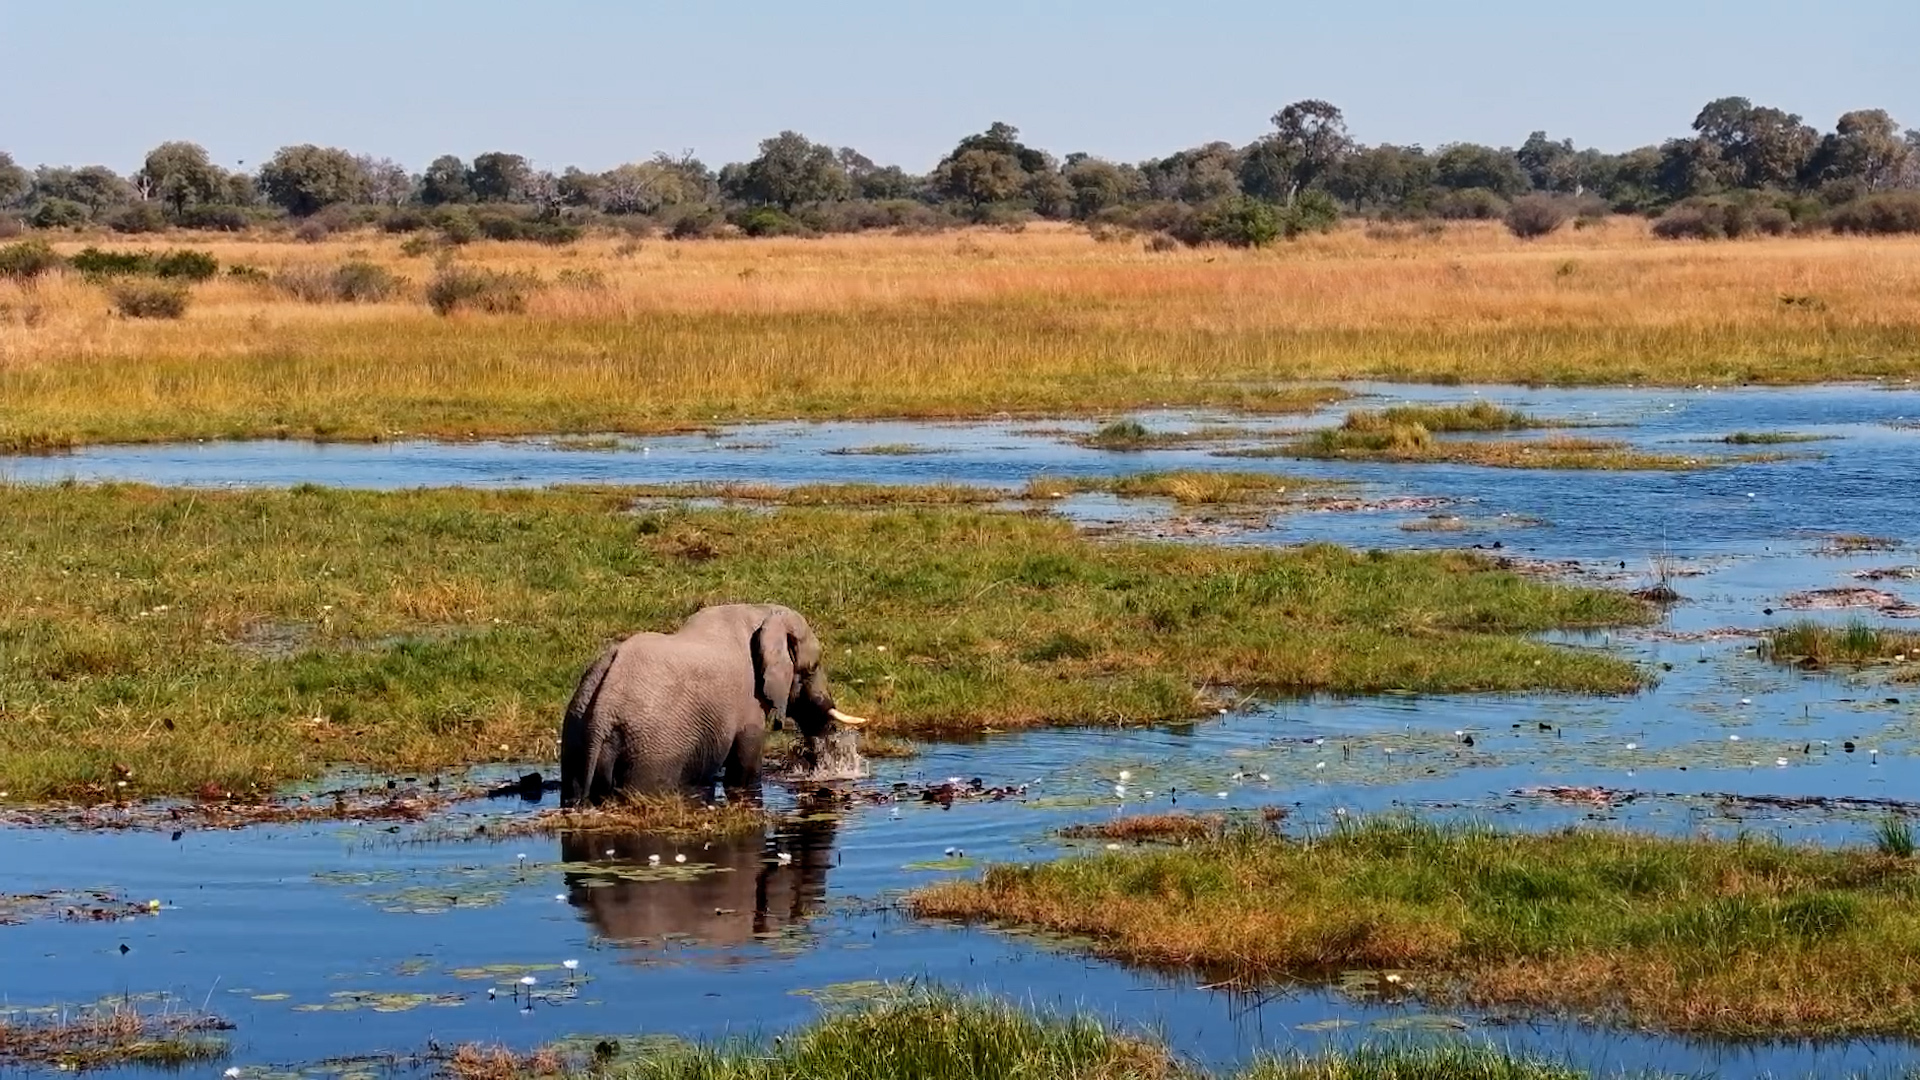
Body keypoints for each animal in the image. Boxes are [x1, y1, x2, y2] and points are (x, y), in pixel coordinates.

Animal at [559, 603, 867, 807]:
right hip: (650, 753)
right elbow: (744, 771)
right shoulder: (749, 701)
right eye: (812, 667)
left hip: (576, 736)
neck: (761, 612)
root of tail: (602, 710)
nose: (829, 771)